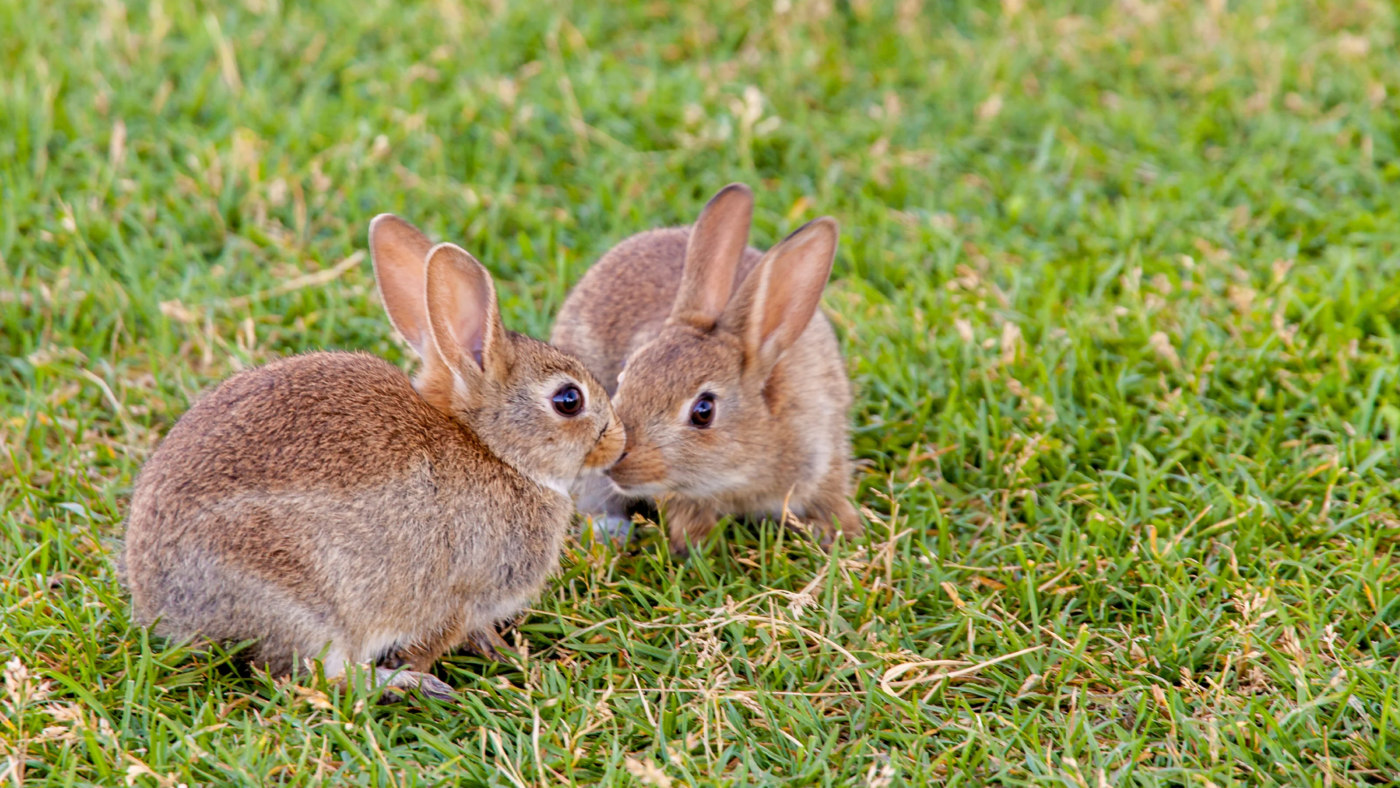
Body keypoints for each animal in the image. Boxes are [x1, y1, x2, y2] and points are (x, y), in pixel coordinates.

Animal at [121, 215, 625, 699]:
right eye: (568, 400)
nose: (618, 442)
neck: (493, 449)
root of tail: (166, 606)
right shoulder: (460, 597)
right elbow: (435, 639)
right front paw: (438, 665)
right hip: (301, 605)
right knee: (312, 679)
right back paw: (406, 685)